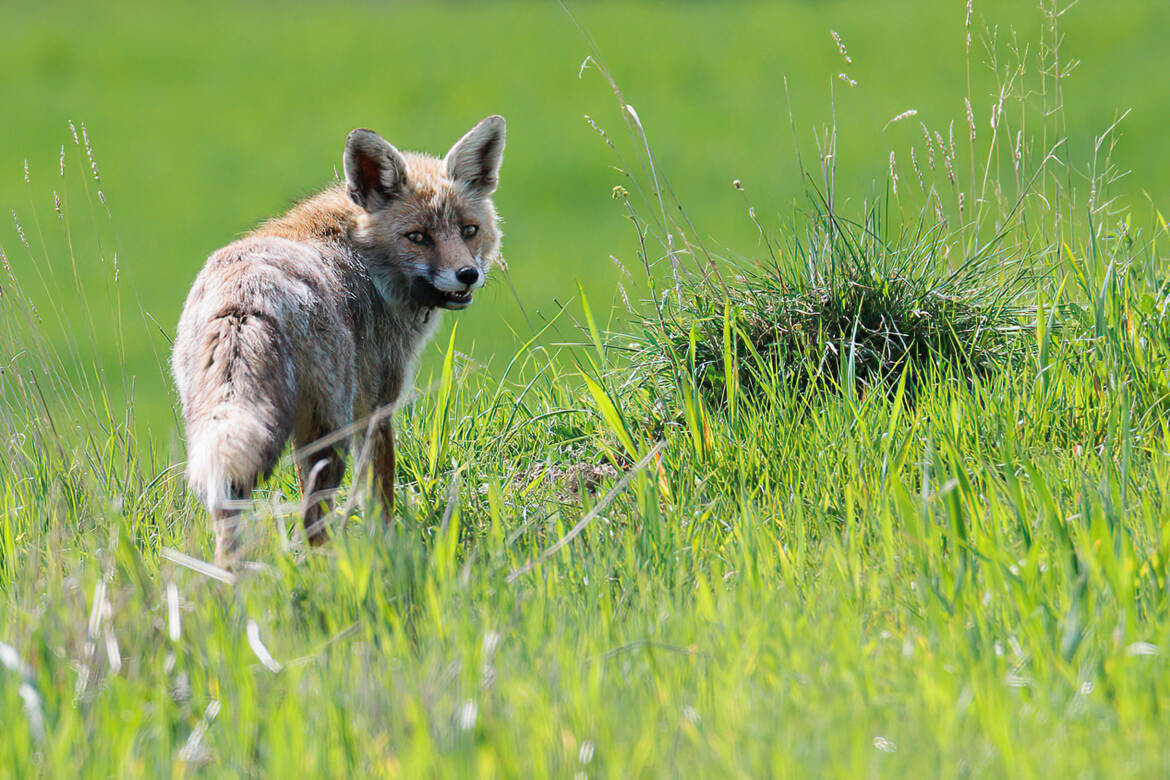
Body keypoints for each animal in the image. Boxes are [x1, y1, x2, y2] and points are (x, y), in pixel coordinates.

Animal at [171, 115, 506, 566]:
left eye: (469, 231)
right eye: (417, 236)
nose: (468, 275)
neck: (362, 256)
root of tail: (245, 297)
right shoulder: (377, 407)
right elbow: (380, 497)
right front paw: (388, 550)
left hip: (222, 431)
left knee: (230, 515)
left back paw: (232, 578)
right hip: (328, 431)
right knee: (315, 522)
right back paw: (328, 572)